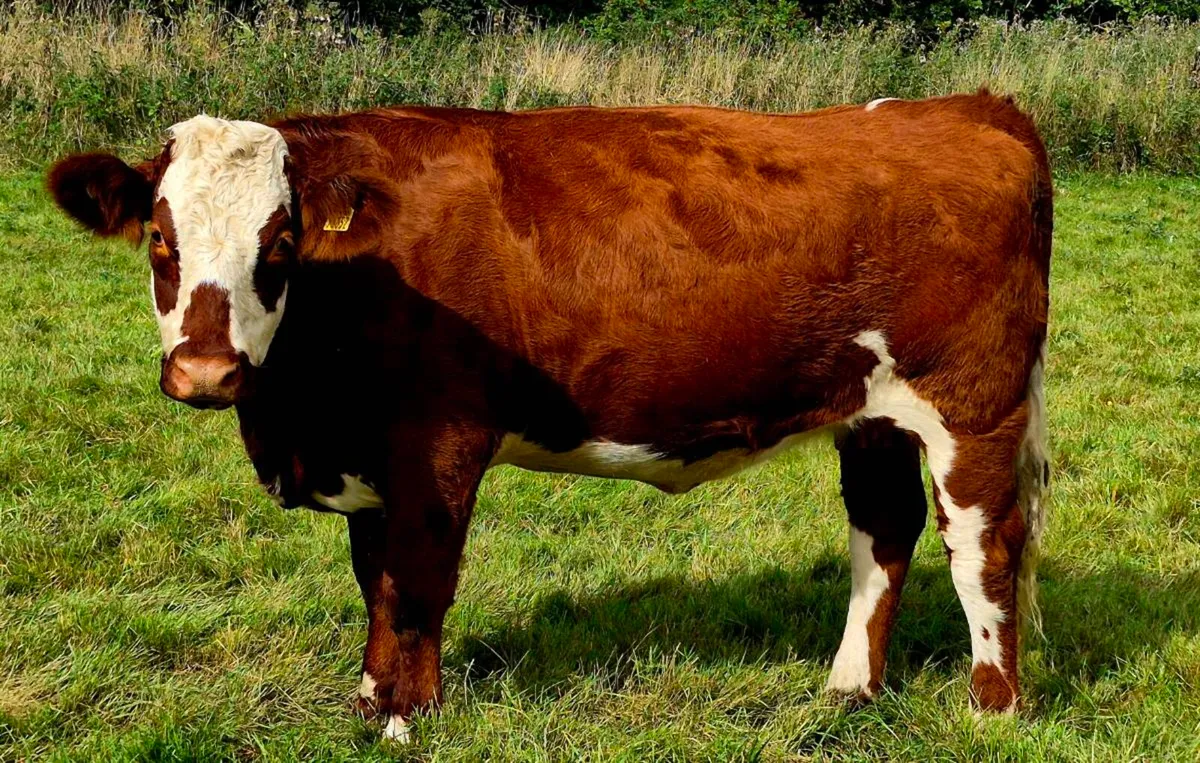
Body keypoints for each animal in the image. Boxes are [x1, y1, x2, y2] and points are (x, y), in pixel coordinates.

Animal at [48, 90, 1051, 740]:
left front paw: (407, 718)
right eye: (160, 240)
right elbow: (374, 578)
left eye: (281, 242)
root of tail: (970, 106)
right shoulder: (371, 455)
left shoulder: (440, 443)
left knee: (983, 546)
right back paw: (849, 690)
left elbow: (415, 583)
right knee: (884, 527)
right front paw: (371, 698)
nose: (206, 371)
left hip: (973, 405)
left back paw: (993, 707)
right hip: (872, 411)